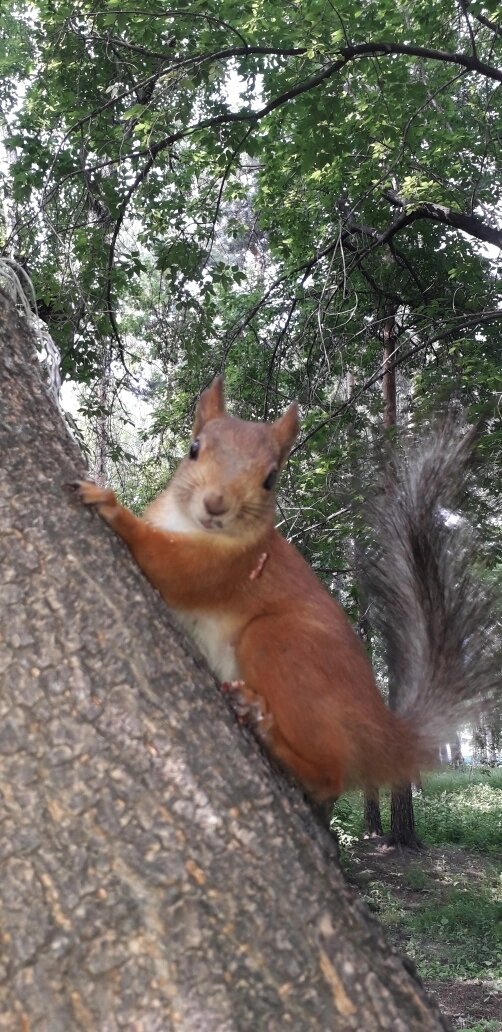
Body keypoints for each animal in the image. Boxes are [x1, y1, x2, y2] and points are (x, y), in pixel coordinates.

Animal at [70, 375, 497, 800]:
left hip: (279, 644)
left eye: (270, 479)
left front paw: (110, 505)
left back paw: (272, 736)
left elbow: (169, 566)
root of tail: (379, 729)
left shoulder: (229, 568)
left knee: (330, 775)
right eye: (194, 449)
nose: (216, 504)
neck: (186, 524)